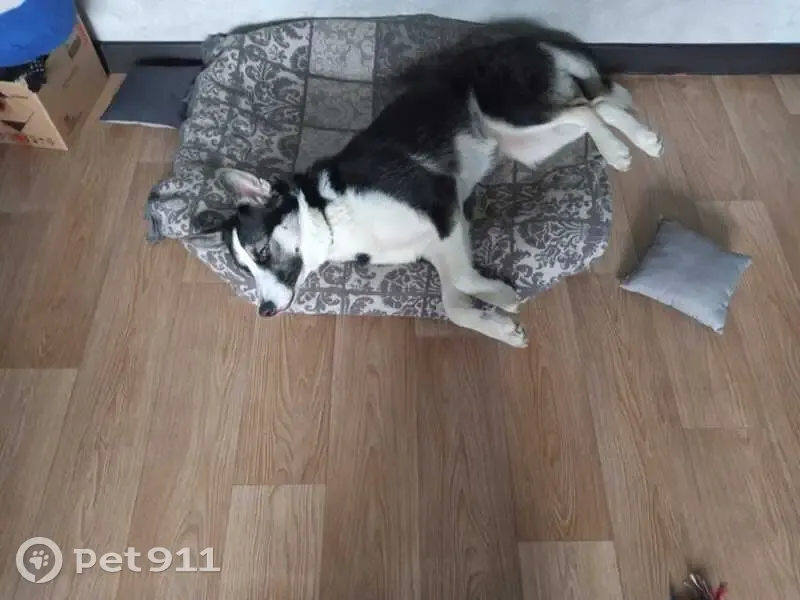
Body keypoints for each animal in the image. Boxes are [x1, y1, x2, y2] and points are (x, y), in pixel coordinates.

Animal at [193, 21, 664, 347]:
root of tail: (522, 41)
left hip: (509, 113)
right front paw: (499, 326)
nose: (266, 311)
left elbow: (469, 283)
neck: (333, 218)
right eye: (243, 269)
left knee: (586, 110)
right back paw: (639, 141)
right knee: (597, 105)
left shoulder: (444, 207)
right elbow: (454, 306)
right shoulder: (442, 242)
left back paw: (620, 151)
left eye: (261, 252)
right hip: (525, 141)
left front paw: (503, 297)